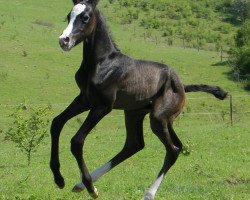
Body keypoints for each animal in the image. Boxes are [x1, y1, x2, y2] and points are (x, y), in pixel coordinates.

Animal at [49, 0, 228, 199]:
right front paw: (59, 178)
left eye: (85, 17)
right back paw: (79, 184)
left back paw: (147, 193)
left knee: (172, 149)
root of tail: (182, 86)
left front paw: (91, 188)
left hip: (158, 118)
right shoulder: (84, 99)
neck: (102, 63)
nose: (63, 40)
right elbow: (56, 123)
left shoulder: (103, 106)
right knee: (137, 145)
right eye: (68, 16)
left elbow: (77, 141)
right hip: (140, 114)